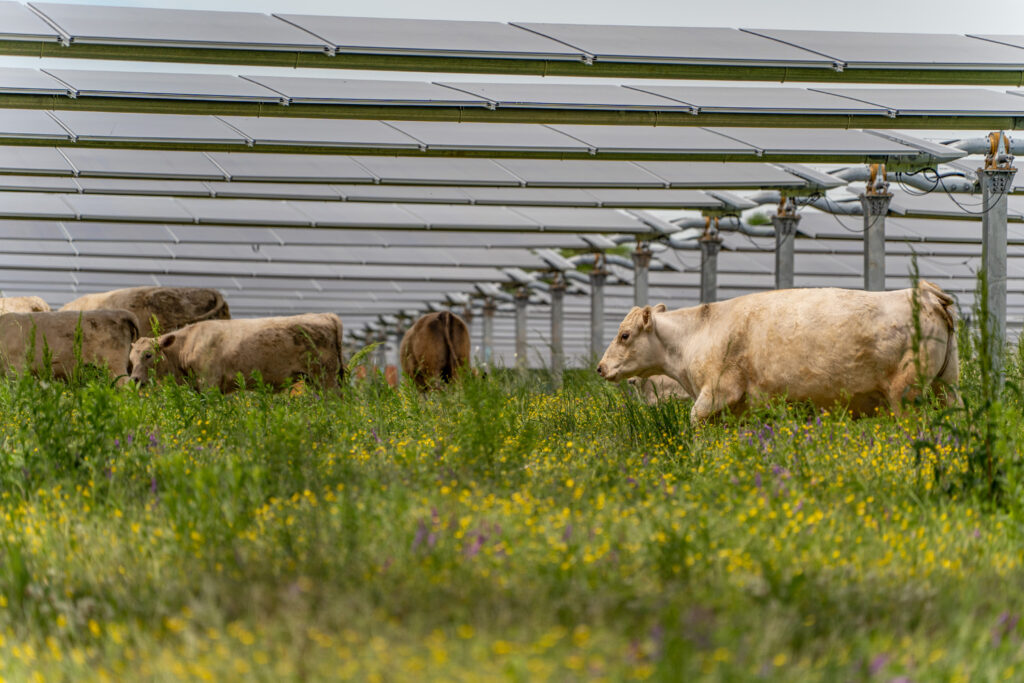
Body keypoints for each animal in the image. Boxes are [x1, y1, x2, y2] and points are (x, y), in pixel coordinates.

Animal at [128, 313, 344, 394]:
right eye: (130, 359)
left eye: (148, 355)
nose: (135, 379)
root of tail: (326, 316)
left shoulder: (209, 382)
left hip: (326, 378)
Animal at [597, 283, 958, 425]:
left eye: (624, 335)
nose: (600, 368)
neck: (699, 333)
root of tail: (924, 292)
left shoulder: (717, 392)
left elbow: (694, 422)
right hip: (947, 386)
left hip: (905, 396)